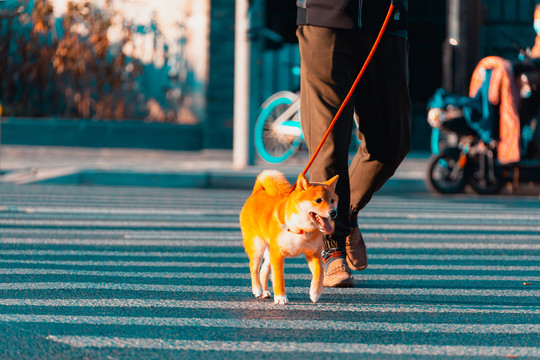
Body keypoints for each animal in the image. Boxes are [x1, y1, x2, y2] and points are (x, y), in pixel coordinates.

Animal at [239, 170, 338, 306]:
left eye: (332, 200)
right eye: (318, 200)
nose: (333, 212)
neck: (300, 229)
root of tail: (257, 192)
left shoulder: (313, 253)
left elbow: (319, 273)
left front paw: (315, 293)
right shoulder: (278, 254)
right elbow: (279, 277)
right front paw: (281, 297)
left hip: (269, 252)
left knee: (263, 270)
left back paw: (265, 292)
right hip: (257, 246)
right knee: (253, 267)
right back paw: (257, 289)